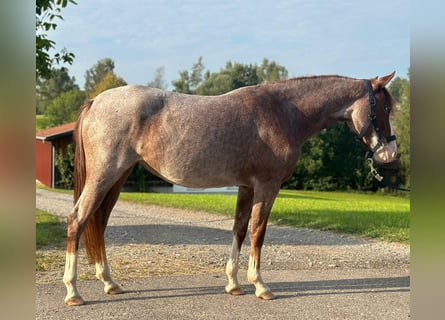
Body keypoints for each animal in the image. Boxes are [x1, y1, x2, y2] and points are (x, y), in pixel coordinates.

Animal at [61, 72, 396, 304]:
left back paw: (109, 282)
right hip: (104, 176)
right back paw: (73, 291)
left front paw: (234, 284)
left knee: (98, 223)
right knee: (77, 220)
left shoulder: (246, 187)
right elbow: (258, 232)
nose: (390, 155)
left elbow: (239, 230)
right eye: (385, 109)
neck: (282, 112)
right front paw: (260, 285)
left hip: (116, 179)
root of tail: (96, 102)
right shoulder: (266, 187)